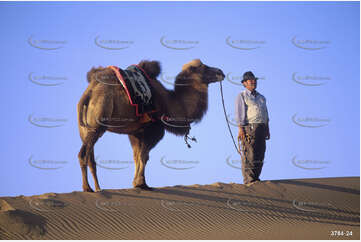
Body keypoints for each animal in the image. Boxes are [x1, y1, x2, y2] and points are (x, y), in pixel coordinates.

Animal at [77, 58, 224, 191]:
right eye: (203, 67)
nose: (220, 72)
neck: (170, 103)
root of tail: (88, 93)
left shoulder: (135, 132)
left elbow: (136, 156)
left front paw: (136, 183)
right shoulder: (154, 129)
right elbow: (144, 156)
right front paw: (141, 184)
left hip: (86, 128)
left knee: (90, 158)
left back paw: (98, 189)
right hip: (98, 121)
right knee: (83, 154)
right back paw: (87, 188)